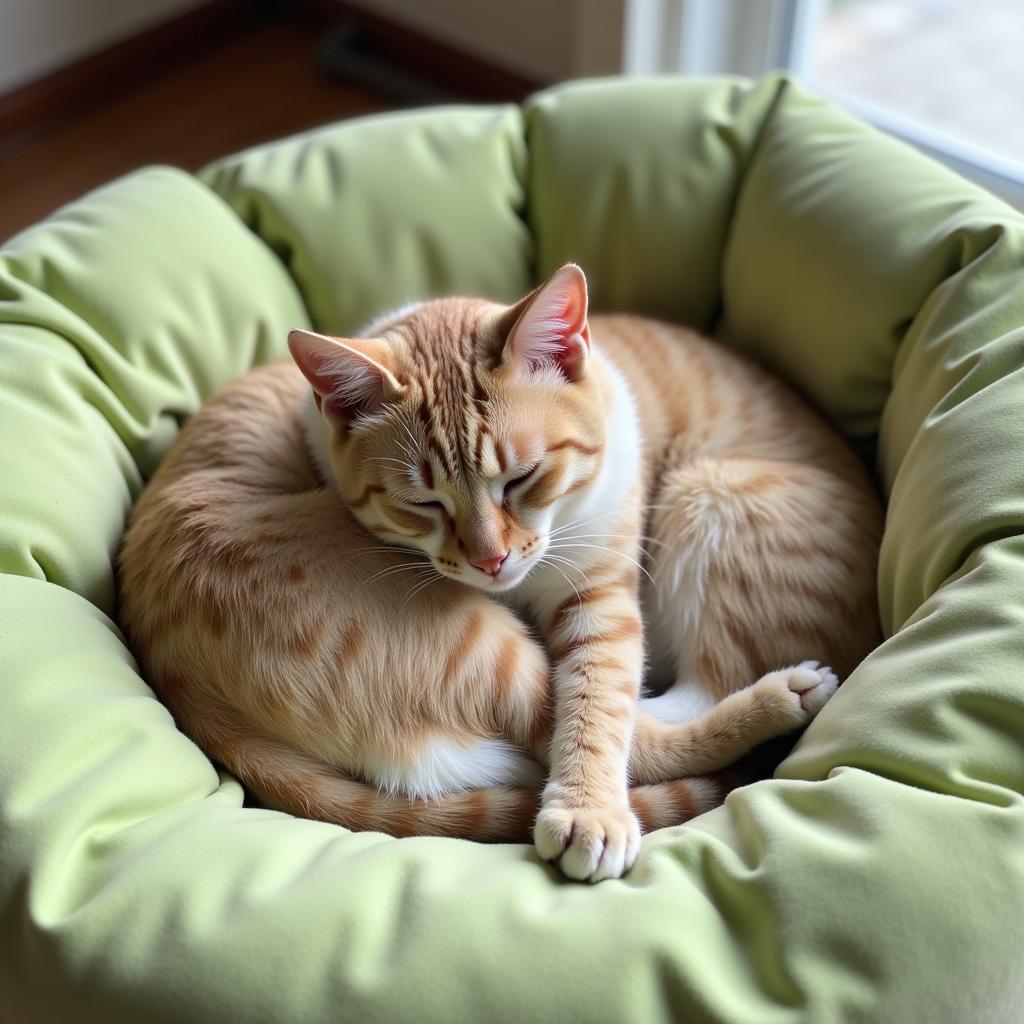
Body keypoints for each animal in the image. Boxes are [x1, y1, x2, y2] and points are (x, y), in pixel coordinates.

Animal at [117, 262, 880, 880]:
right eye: (421, 502)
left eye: (523, 478)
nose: (490, 560)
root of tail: (184, 687)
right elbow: (598, 711)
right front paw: (591, 811)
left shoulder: (599, 593)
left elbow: (597, 702)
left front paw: (588, 808)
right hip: (484, 646)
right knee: (637, 728)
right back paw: (783, 698)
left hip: (712, 490)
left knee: (662, 703)